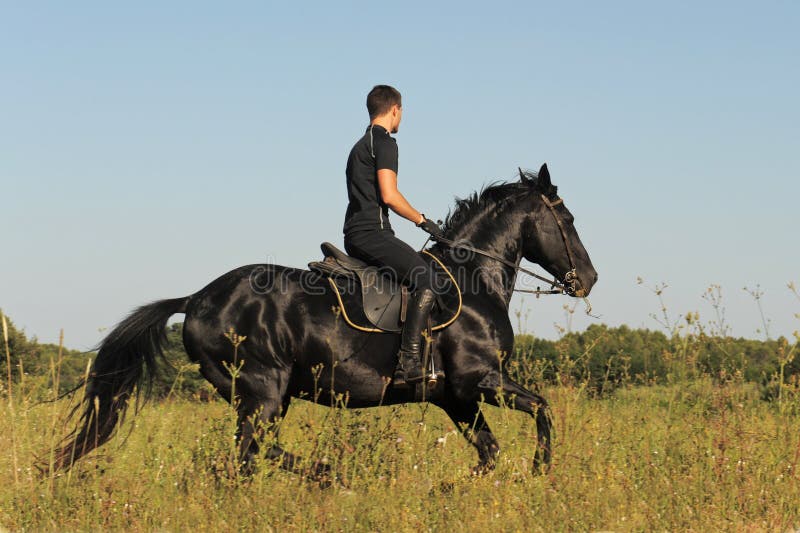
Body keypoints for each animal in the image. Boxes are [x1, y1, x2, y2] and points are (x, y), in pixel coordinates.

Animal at [50, 163, 596, 478]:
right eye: (568, 221)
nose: (588, 280)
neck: (472, 276)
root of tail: (197, 299)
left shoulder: (455, 397)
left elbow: (490, 452)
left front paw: (452, 488)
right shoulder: (477, 380)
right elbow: (543, 410)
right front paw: (540, 472)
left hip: (263, 395)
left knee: (249, 454)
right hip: (263, 389)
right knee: (250, 453)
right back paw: (329, 472)